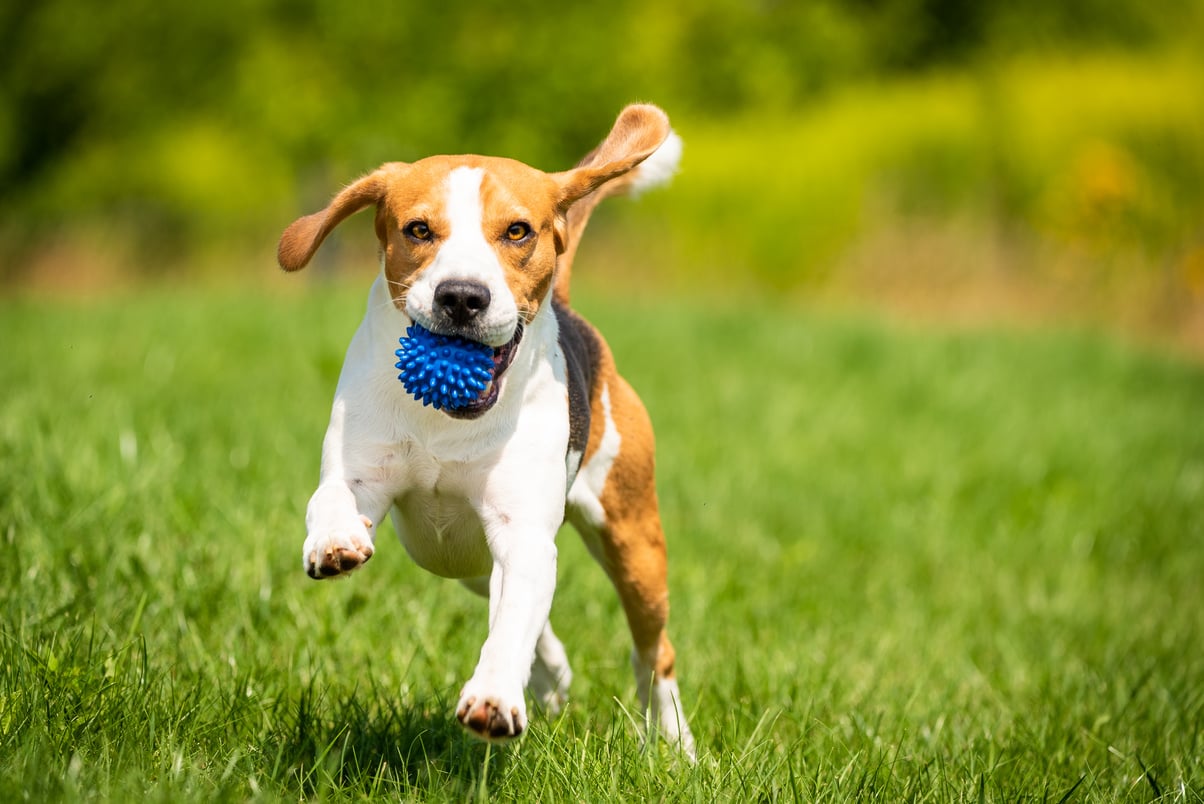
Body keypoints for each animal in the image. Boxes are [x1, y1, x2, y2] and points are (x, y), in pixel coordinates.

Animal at [279, 103, 698, 755]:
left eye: (518, 231)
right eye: (418, 230)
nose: (461, 296)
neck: (446, 423)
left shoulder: (521, 531)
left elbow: (511, 628)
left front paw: (495, 698)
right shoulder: (363, 474)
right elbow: (332, 498)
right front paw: (333, 541)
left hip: (634, 544)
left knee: (652, 651)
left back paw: (676, 745)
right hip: (465, 561)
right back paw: (551, 677)